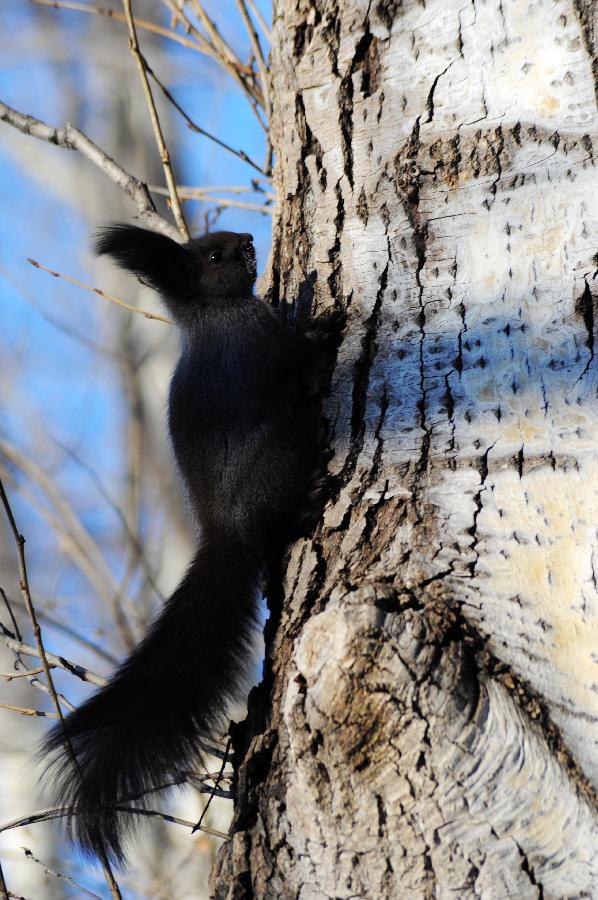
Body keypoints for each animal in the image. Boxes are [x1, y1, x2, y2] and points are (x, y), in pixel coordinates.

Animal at [42, 225, 342, 864]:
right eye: (216, 254)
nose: (251, 237)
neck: (212, 314)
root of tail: (226, 534)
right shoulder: (257, 341)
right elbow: (295, 354)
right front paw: (326, 323)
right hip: (283, 448)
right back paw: (311, 499)